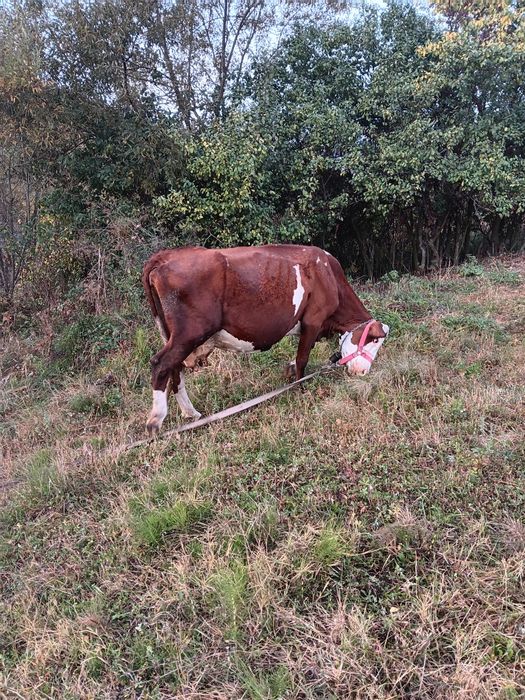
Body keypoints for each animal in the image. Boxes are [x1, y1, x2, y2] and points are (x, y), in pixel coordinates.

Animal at [142, 244, 389, 435]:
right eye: (375, 341)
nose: (363, 372)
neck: (328, 274)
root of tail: (166, 256)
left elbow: (299, 357)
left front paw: (290, 371)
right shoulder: (313, 320)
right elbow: (303, 358)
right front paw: (300, 390)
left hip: (175, 335)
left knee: (175, 370)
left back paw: (190, 413)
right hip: (190, 333)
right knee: (161, 364)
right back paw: (156, 421)